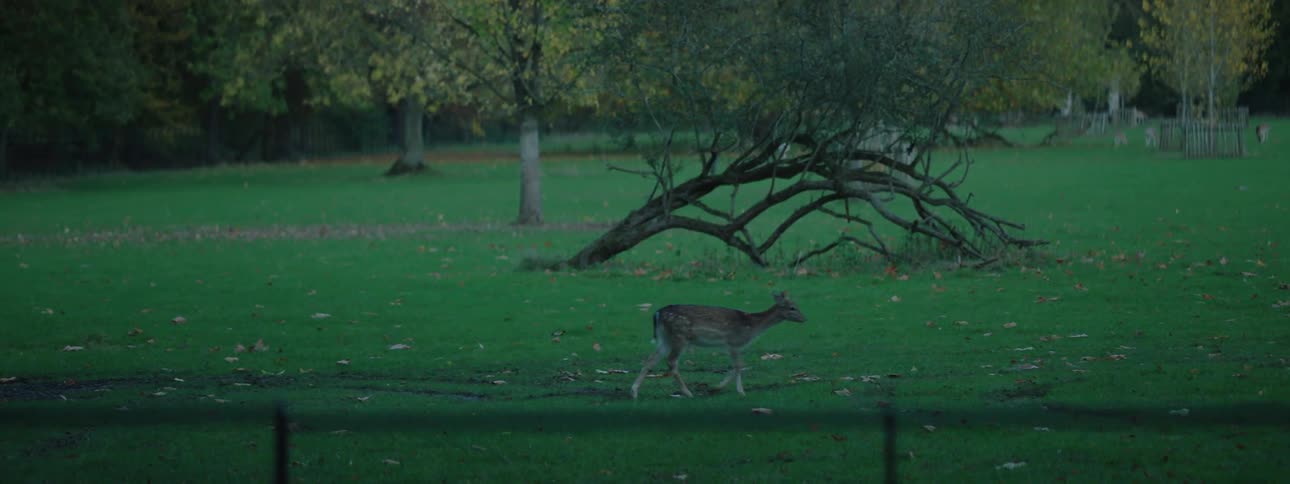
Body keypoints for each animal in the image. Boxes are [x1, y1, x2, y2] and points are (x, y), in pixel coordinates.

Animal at [630, 291, 807, 399]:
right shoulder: (734, 342)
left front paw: (718, 388)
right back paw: (688, 393)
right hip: (680, 337)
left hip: (665, 338)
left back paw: (634, 391)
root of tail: (657, 314)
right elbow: (739, 365)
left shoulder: (730, 346)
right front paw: (737, 391)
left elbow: (737, 366)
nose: (804, 319)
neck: (752, 327)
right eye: (792, 307)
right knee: (671, 361)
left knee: (650, 360)